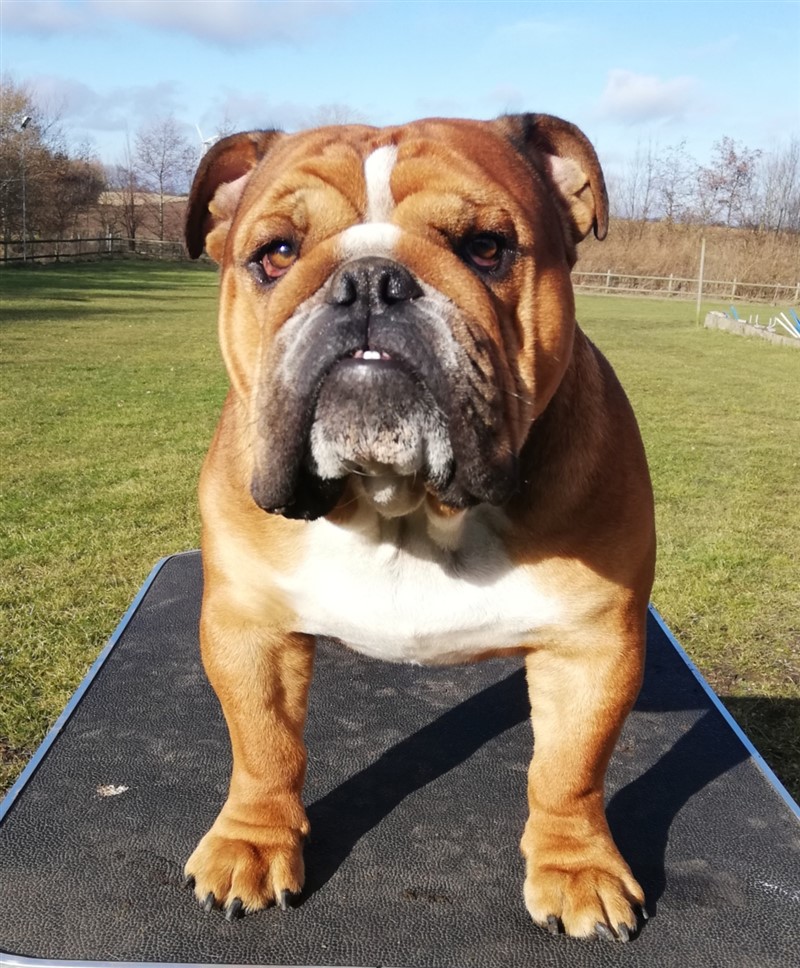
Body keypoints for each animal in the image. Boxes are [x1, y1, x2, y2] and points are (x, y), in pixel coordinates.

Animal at [182, 113, 655, 942]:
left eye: (487, 247)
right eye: (276, 255)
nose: (369, 280)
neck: (398, 503)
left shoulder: (593, 645)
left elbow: (570, 768)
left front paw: (578, 868)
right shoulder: (247, 626)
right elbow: (264, 745)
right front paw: (251, 843)